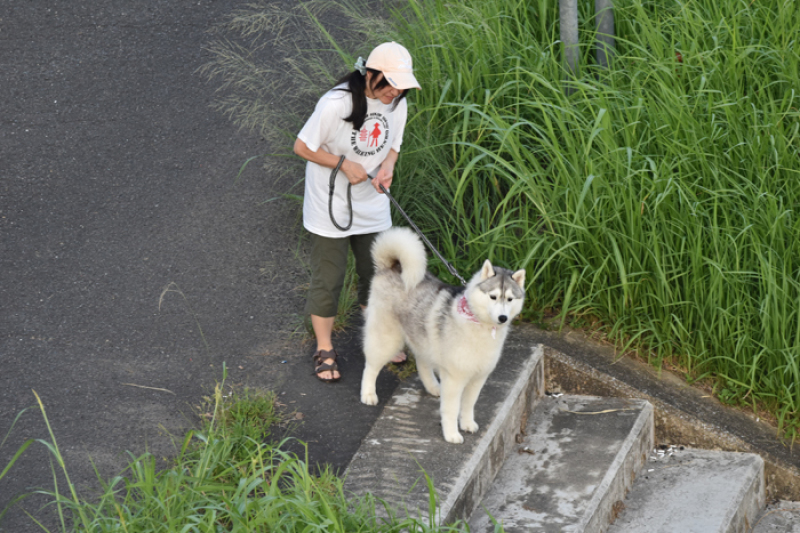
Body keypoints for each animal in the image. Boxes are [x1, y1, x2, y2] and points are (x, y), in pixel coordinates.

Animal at [360, 227, 524, 442]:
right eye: (493, 296)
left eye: (510, 299)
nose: (503, 317)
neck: (478, 324)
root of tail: (390, 267)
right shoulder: (454, 379)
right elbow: (452, 409)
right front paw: (452, 434)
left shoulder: (478, 378)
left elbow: (468, 405)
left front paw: (467, 424)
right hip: (386, 340)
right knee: (371, 367)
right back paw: (368, 394)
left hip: (422, 338)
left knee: (422, 362)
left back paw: (433, 387)